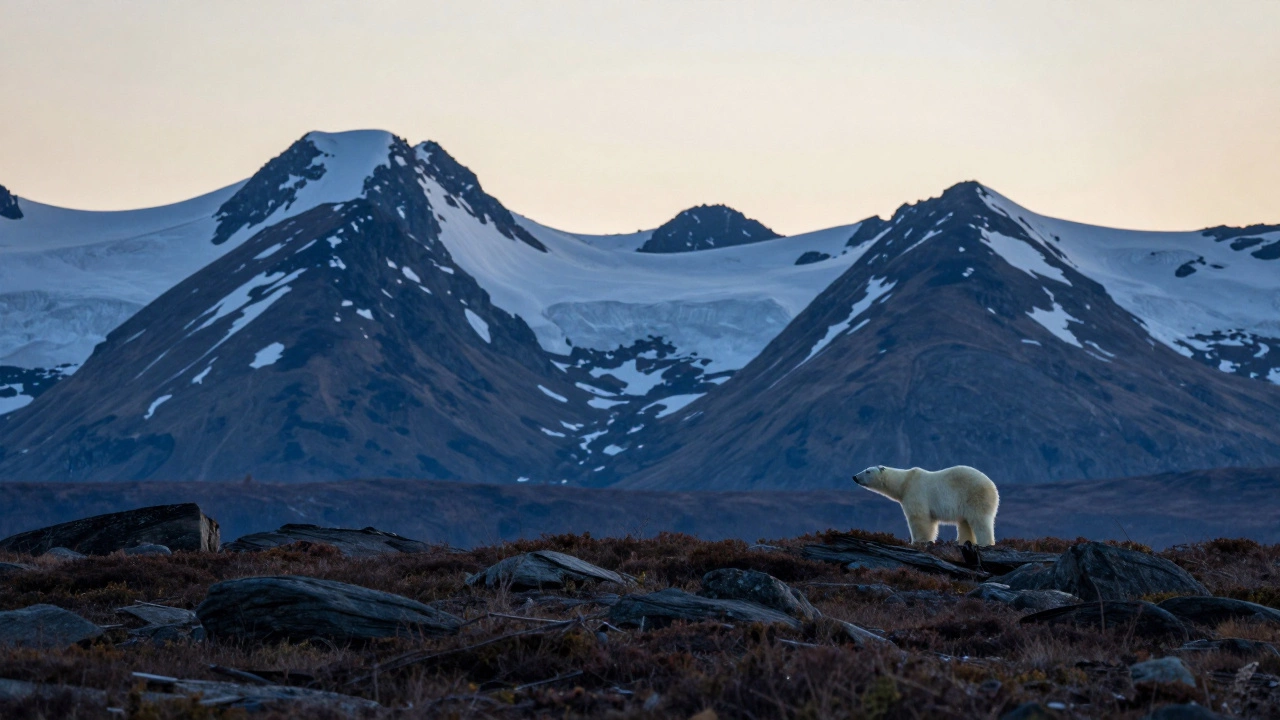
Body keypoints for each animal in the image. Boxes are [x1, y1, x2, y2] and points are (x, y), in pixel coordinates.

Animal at [852, 465, 999, 546]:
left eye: (868, 471)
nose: (854, 477)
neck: (904, 482)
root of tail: (993, 486)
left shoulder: (915, 492)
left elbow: (919, 518)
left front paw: (917, 541)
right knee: (965, 523)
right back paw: (964, 542)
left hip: (975, 495)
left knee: (979, 520)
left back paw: (984, 543)